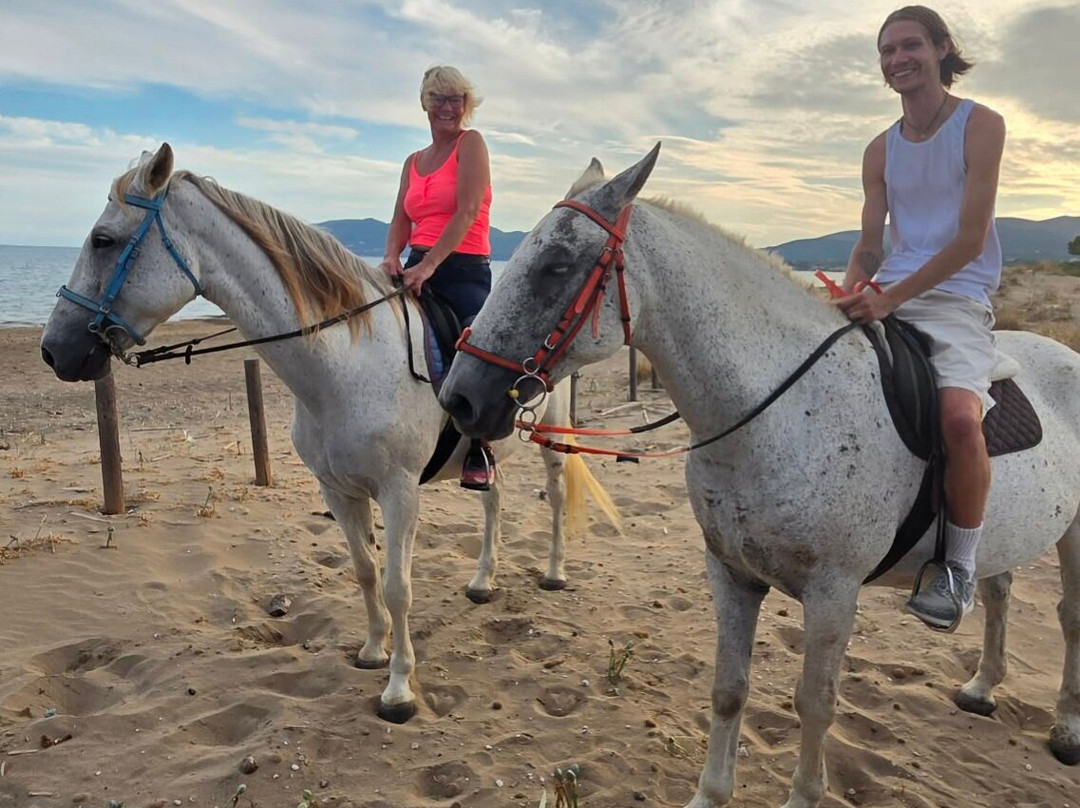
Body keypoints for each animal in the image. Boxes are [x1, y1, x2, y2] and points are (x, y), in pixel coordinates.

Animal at [39, 142, 617, 724]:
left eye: (103, 240)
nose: (52, 350)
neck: (344, 364)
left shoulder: (399, 492)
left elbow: (398, 586)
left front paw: (399, 690)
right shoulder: (337, 490)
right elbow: (364, 571)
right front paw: (371, 651)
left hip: (553, 439)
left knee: (556, 495)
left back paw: (554, 572)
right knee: (493, 500)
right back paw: (482, 582)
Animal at [438, 144, 1080, 808]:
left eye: (556, 265)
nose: (458, 399)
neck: (782, 412)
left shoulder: (833, 594)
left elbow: (815, 705)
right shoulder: (731, 573)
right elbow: (729, 688)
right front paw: (709, 794)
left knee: (1069, 619)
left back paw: (1065, 731)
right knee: (1000, 591)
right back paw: (982, 688)